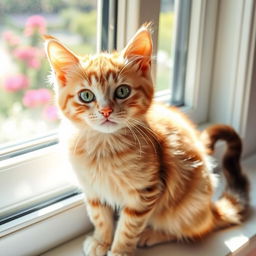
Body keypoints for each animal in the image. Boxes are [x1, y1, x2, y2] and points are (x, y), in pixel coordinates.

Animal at [45, 24, 249, 256]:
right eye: (86, 96)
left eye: (122, 91)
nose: (106, 111)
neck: (104, 146)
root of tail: (209, 209)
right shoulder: (92, 189)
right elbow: (100, 217)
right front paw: (101, 241)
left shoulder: (145, 192)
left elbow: (128, 227)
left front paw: (119, 251)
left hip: (187, 206)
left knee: (192, 230)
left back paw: (151, 234)